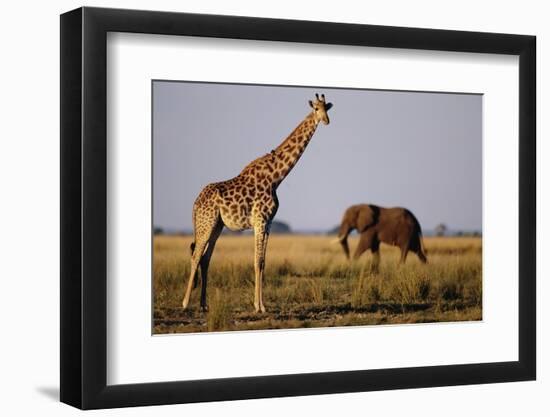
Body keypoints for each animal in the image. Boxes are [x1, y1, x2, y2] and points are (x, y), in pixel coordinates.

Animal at [183, 92, 334, 310]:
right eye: (315, 108)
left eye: (326, 108)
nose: (326, 120)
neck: (276, 178)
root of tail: (195, 203)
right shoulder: (260, 221)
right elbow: (256, 261)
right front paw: (258, 306)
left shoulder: (268, 223)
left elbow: (263, 262)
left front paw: (262, 305)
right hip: (206, 223)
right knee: (196, 256)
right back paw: (186, 303)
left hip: (217, 225)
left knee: (205, 258)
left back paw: (204, 305)